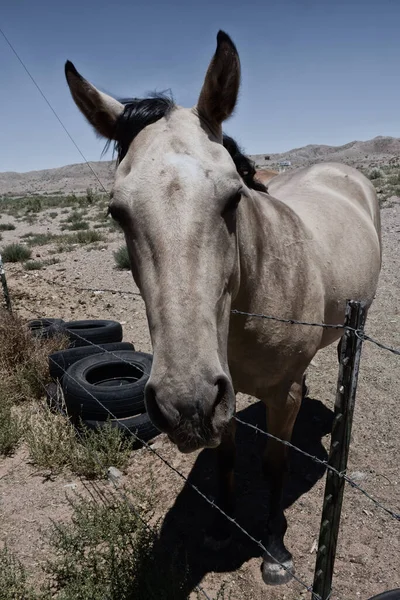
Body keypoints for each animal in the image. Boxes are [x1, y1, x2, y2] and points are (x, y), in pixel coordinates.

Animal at [65, 29, 382, 584]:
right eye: (116, 211)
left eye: (234, 197)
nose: (183, 404)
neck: (252, 304)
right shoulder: (224, 394)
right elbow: (227, 457)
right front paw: (220, 528)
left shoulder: (281, 395)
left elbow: (275, 464)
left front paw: (275, 550)